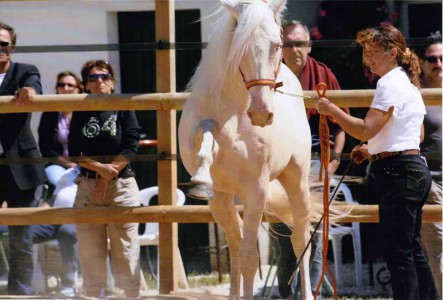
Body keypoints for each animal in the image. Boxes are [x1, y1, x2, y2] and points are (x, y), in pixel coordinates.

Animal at [179, 1, 318, 298]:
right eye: (240, 47)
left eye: (278, 45)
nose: (262, 113)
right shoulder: (219, 195)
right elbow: (206, 135)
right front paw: (200, 180)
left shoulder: (256, 191)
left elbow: (250, 258)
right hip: (227, 198)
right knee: (236, 242)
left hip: (295, 178)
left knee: (300, 238)